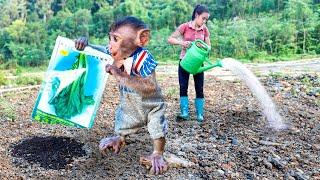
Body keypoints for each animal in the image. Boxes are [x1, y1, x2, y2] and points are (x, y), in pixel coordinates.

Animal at [75, 15, 169, 174]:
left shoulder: (146, 59)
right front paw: (82, 41)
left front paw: (115, 70)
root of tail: (141, 122)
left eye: (116, 39)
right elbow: (103, 50)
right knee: (123, 127)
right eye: (110, 39)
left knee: (156, 125)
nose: (111, 45)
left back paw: (156, 155)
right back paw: (118, 139)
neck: (128, 56)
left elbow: (148, 84)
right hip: (127, 115)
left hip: (156, 108)